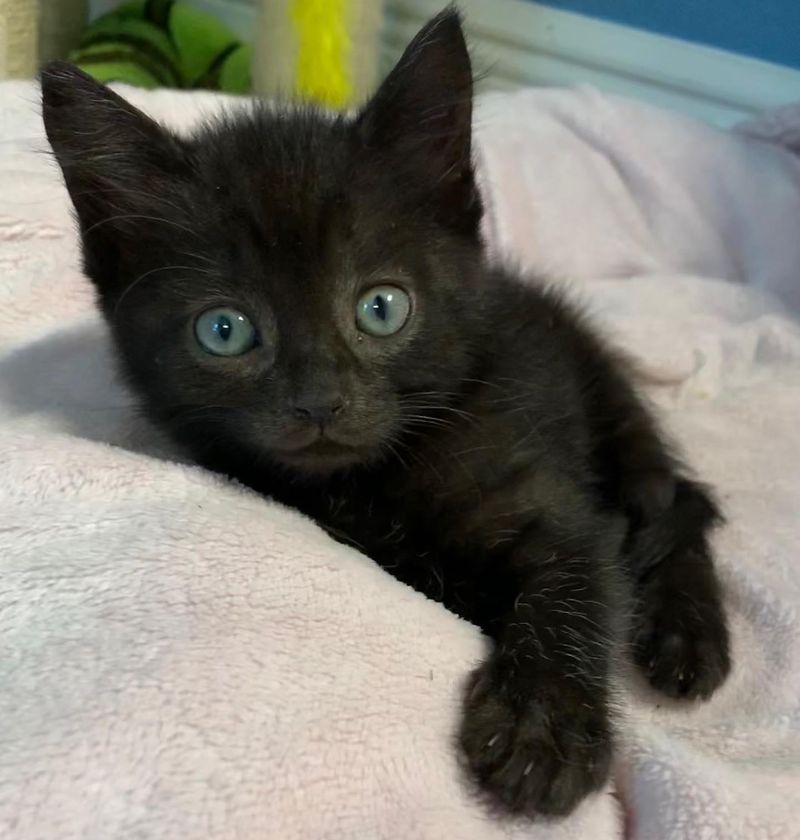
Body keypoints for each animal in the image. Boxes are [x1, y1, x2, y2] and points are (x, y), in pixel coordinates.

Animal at [42, 8, 732, 820]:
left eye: (381, 308)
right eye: (225, 330)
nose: (320, 400)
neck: (375, 480)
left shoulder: (551, 497)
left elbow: (578, 576)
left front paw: (543, 729)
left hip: (612, 409)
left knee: (677, 506)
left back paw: (685, 638)